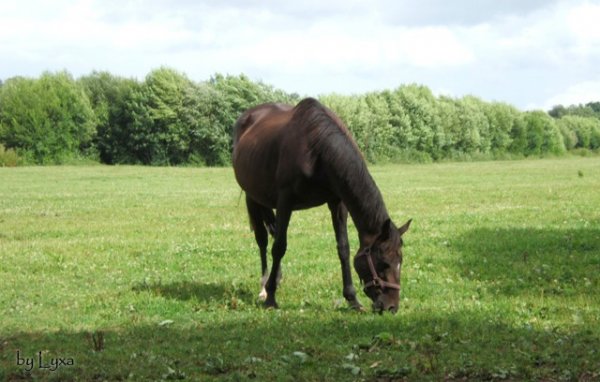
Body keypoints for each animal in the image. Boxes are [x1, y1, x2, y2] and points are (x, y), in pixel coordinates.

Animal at [232, 97, 410, 312]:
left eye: (400, 261)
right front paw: (271, 298)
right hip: (252, 198)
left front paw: (352, 299)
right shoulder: (285, 201)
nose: (391, 307)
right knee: (263, 240)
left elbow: (343, 248)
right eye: (383, 263)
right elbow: (279, 247)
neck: (316, 148)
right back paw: (264, 287)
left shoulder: (337, 202)